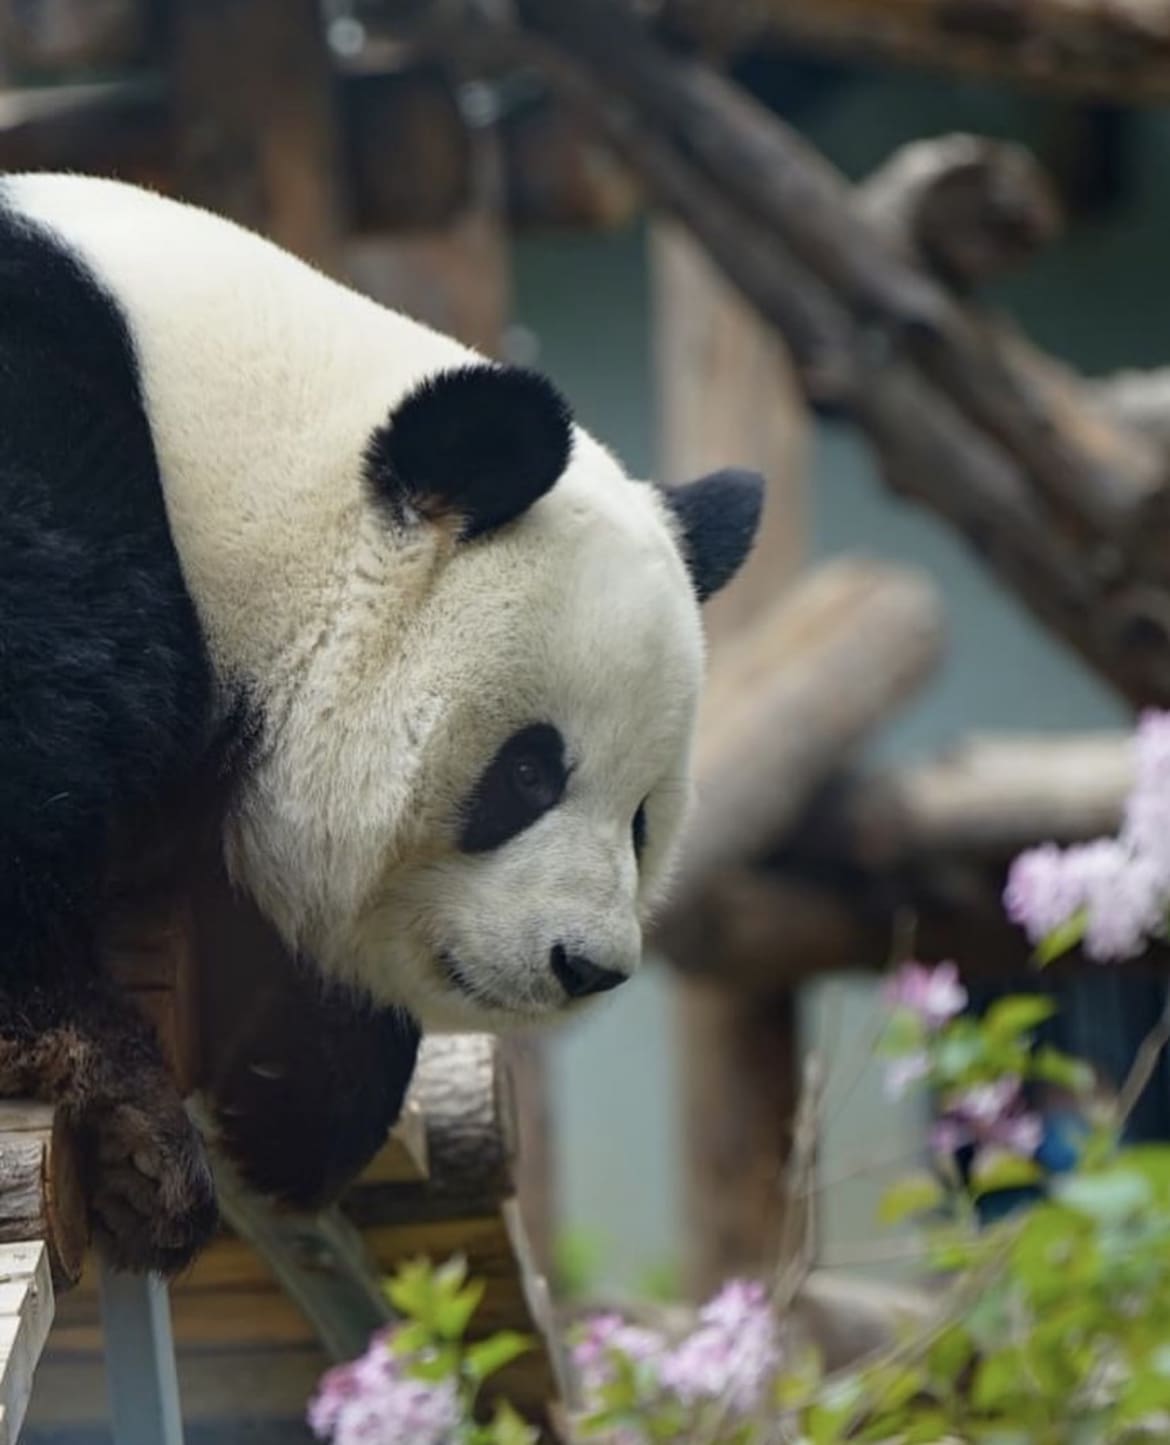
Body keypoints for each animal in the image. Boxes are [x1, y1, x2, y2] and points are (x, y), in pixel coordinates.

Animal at [0, 172, 762, 1273]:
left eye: (642, 819)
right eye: (528, 772)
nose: (587, 964)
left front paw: (294, 1111)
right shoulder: (52, 446)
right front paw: (115, 1094)